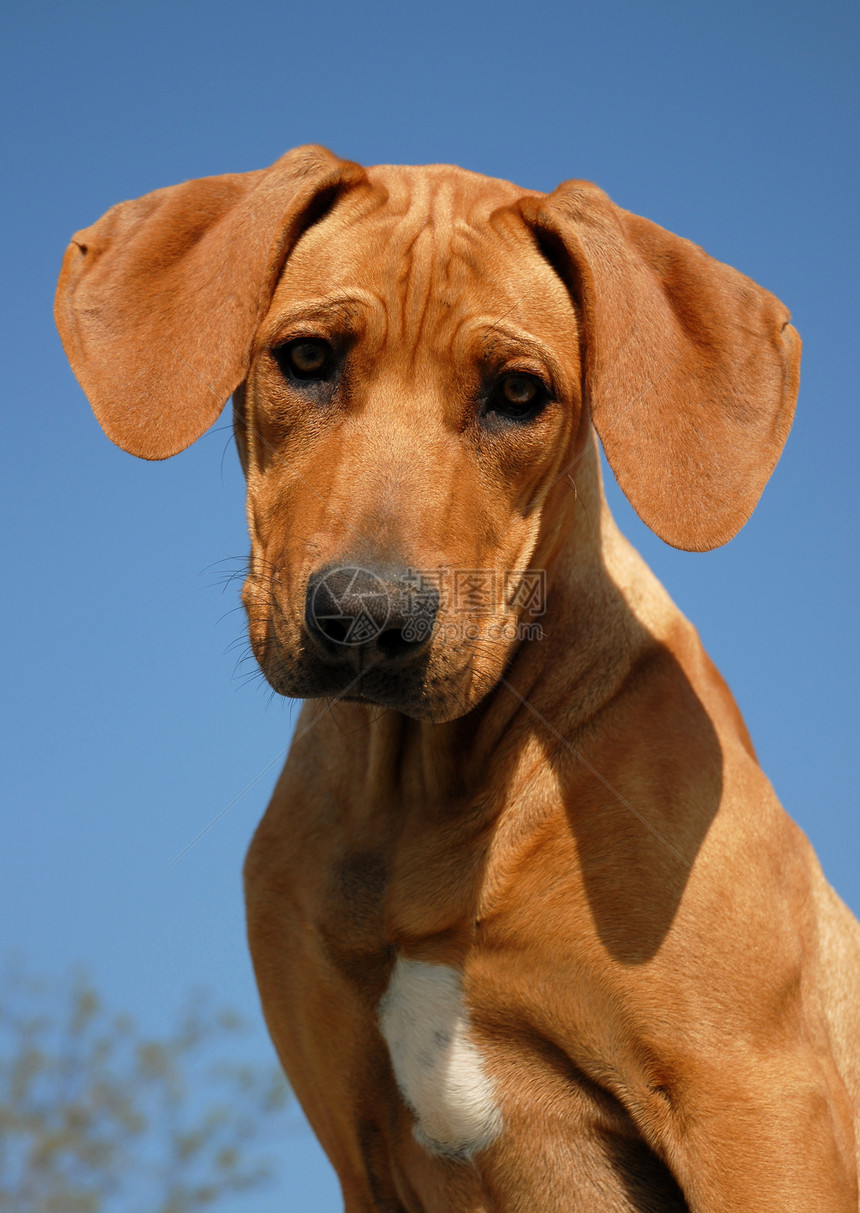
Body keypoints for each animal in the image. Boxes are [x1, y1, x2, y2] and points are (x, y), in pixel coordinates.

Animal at [57, 146, 853, 1208]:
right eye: (306, 359)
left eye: (518, 393)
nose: (367, 617)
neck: (425, 792)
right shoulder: (357, 1147)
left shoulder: (755, 1109)